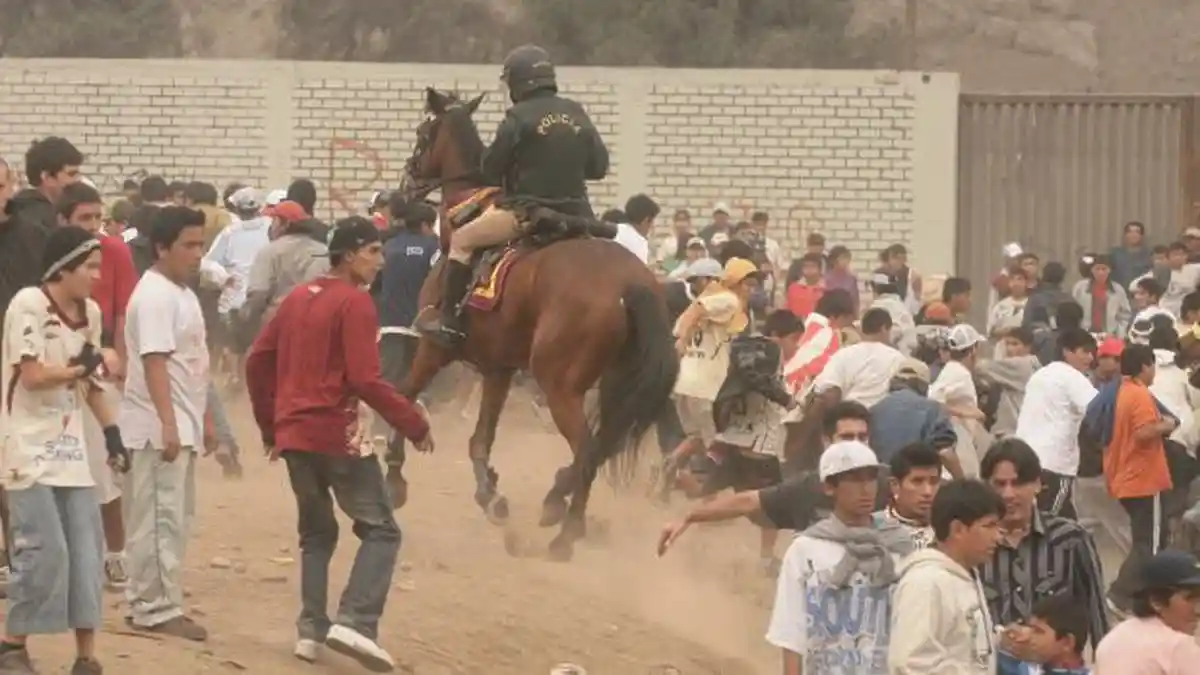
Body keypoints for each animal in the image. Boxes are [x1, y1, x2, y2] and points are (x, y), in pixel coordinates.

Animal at [393, 85, 676, 557]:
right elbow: (480, 440)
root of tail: (630, 283)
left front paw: (395, 476)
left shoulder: (434, 348)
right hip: (615, 385)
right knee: (600, 446)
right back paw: (556, 501)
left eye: (421, 133)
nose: (406, 184)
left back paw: (566, 531)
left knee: (587, 449)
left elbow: (404, 396)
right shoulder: (498, 369)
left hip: (558, 383)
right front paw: (491, 496)